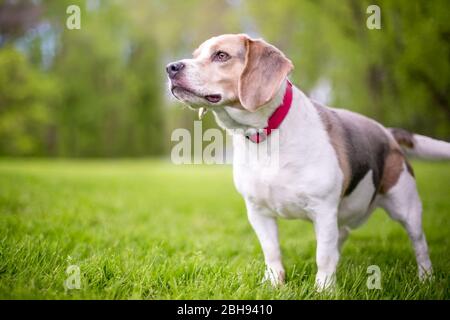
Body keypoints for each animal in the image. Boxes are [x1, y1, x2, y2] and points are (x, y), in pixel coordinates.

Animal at [166, 34, 450, 290]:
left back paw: (426, 278)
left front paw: (324, 289)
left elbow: (322, 256)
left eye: (221, 55)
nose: (170, 67)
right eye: (195, 55)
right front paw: (274, 283)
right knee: (341, 237)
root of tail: (388, 133)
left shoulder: (322, 209)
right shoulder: (258, 211)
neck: (266, 136)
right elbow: (272, 251)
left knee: (419, 244)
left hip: (406, 206)